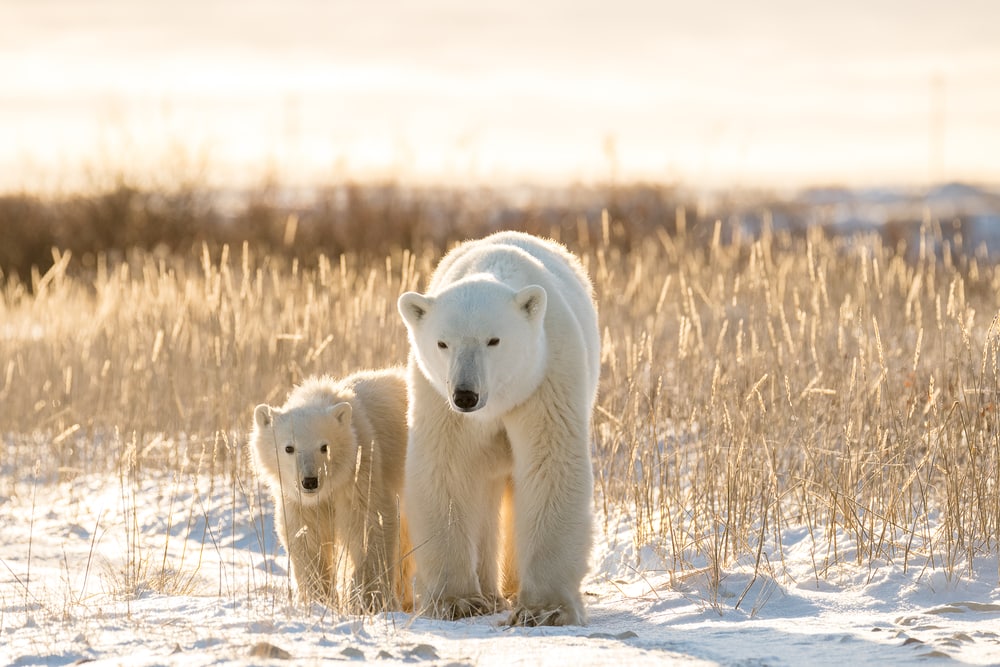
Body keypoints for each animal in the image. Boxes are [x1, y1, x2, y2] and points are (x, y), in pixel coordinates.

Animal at [249, 368, 413, 613]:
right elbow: (305, 537)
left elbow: (368, 525)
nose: (309, 481)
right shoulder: (300, 502)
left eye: (324, 446)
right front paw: (318, 599)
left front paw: (368, 601)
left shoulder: (361, 475)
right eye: (289, 447)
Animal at [397, 230, 600, 626]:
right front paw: (456, 601)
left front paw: (545, 609)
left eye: (494, 340)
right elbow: (447, 469)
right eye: (443, 343)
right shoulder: (438, 399)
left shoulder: (544, 381)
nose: (465, 394)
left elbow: (549, 467)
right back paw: (490, 594)